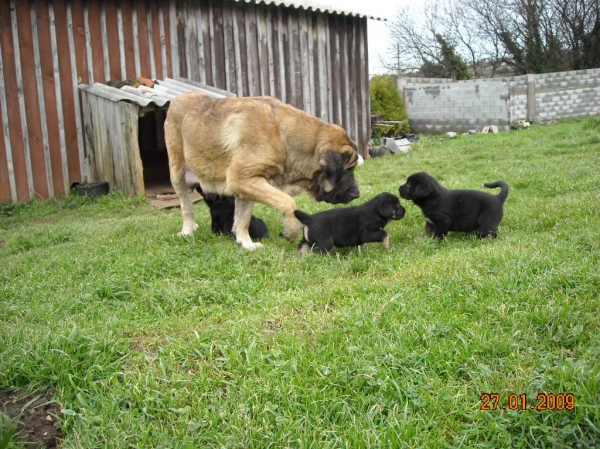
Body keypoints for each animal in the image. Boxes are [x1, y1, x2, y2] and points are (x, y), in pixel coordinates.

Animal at [164, 92, 360, 250]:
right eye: (348, 170)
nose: (357, 194)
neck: (284, 139)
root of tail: (177, 99)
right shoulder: (242, 179)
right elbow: (287, 201)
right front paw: (291, 230)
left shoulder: (247, 184)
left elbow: (243, 218)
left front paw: (246, 244)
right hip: (177, 172)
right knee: (186, 205)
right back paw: (188, 229)